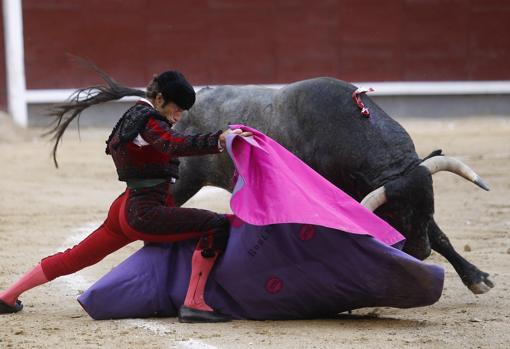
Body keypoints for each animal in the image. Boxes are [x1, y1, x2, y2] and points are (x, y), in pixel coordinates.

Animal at [171, 77, 494, 294]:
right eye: (392, 214)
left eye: (429, 211)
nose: (420, 252)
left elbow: (440, 235)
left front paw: (477, 278)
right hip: (182, 182)